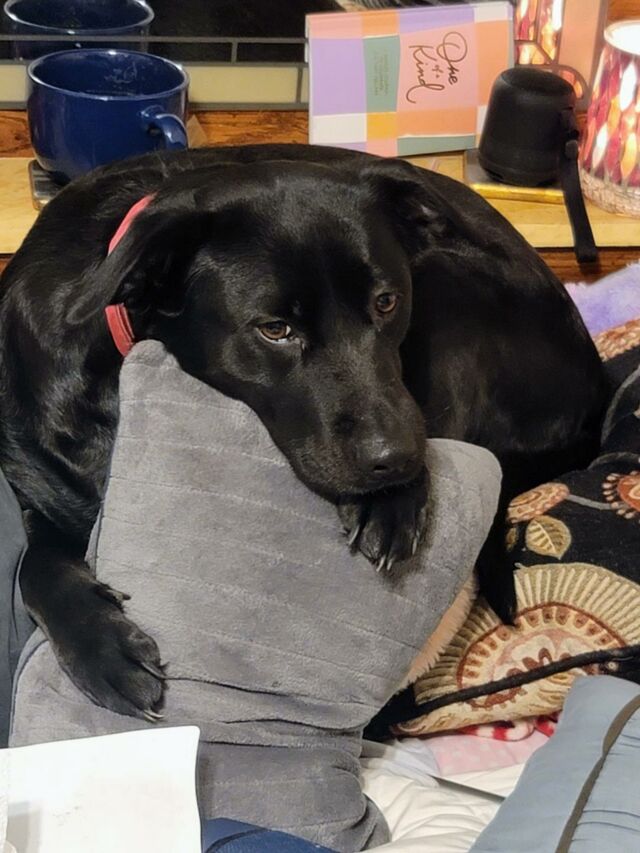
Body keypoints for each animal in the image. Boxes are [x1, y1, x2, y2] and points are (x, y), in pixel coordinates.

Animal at [0, 144, 608, 720]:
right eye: (275, 329)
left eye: (386, 301)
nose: (395, 460)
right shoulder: (38, 495)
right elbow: (34, 565)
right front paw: (102, 646)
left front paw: (390, 502)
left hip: (449, 284)